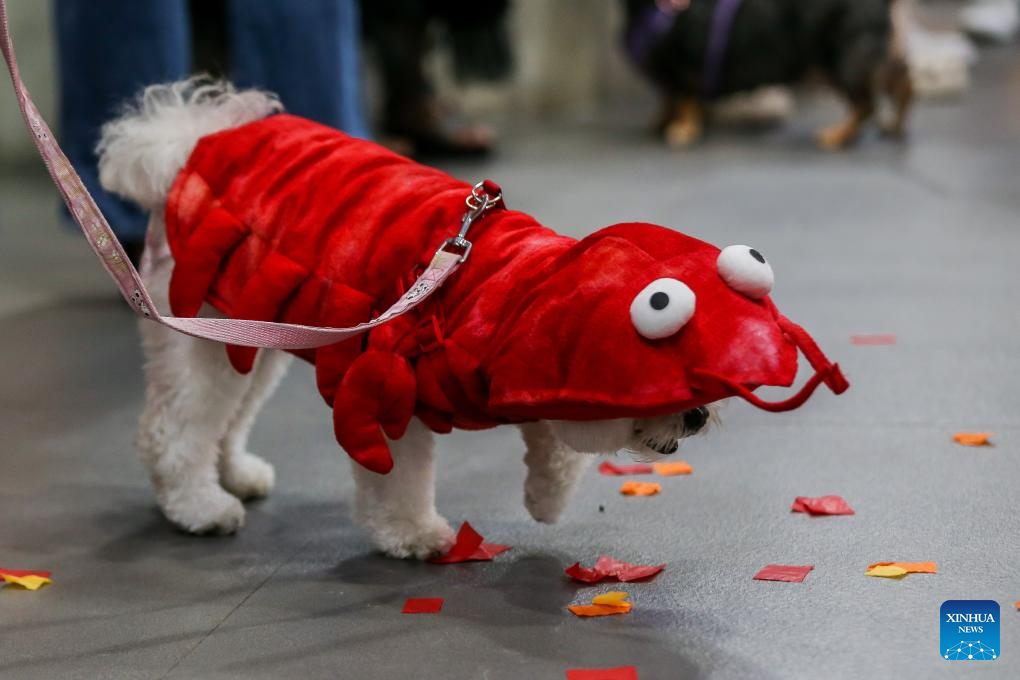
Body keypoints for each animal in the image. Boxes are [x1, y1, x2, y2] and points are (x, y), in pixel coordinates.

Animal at [99, 80, 714, 558]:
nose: (699, 416)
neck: (511, 292)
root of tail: (191, 140)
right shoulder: (386, 388)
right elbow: (398, 477)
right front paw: (413, 534)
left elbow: (556, 445)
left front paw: (546, 498)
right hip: (196, 324)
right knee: (174, 428)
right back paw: (198, 505)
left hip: (250, 328)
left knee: (228, 413)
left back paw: (235, 474)